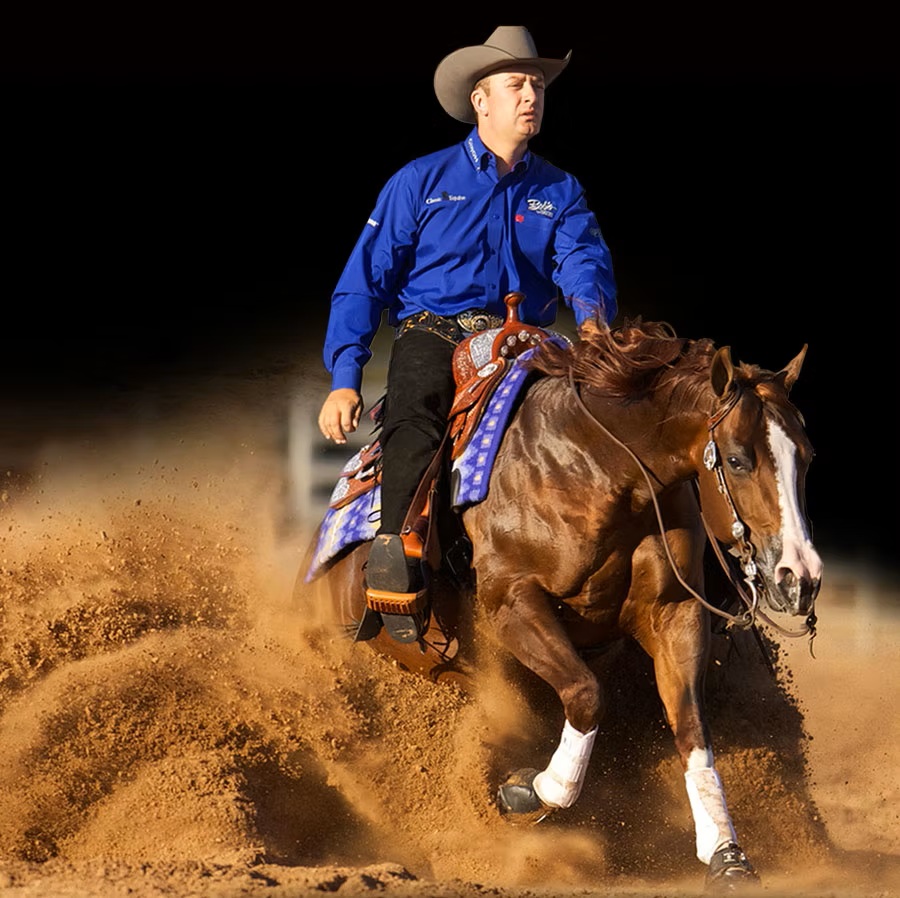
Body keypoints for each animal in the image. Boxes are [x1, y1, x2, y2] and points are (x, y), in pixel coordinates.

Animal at [299, 307, 822, 892]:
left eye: (806, 456)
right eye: (735, 460)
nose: (800, 577)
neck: (592, 468)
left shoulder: (676, 613)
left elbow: (691, 726)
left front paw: (727, 856)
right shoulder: (513, 605)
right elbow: (586, 693)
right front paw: (528, 792)